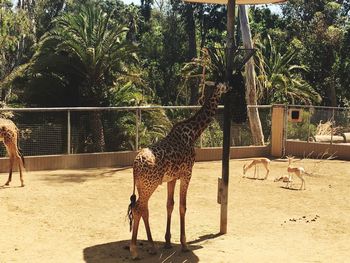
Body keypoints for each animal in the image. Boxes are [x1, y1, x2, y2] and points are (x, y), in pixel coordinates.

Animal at [127, 82, 228, 260]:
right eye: (225, 84)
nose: (230, 87)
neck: (193, 133)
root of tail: (135, 166)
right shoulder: (187, 173)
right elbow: (182, 206)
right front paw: (184, 244)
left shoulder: (172, 178)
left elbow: (170, 205)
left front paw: (167, 242)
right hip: (149, 185)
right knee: (138, 208)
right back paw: (134, 251)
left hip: (141, 185)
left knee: (143, 209)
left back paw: (152, 246)